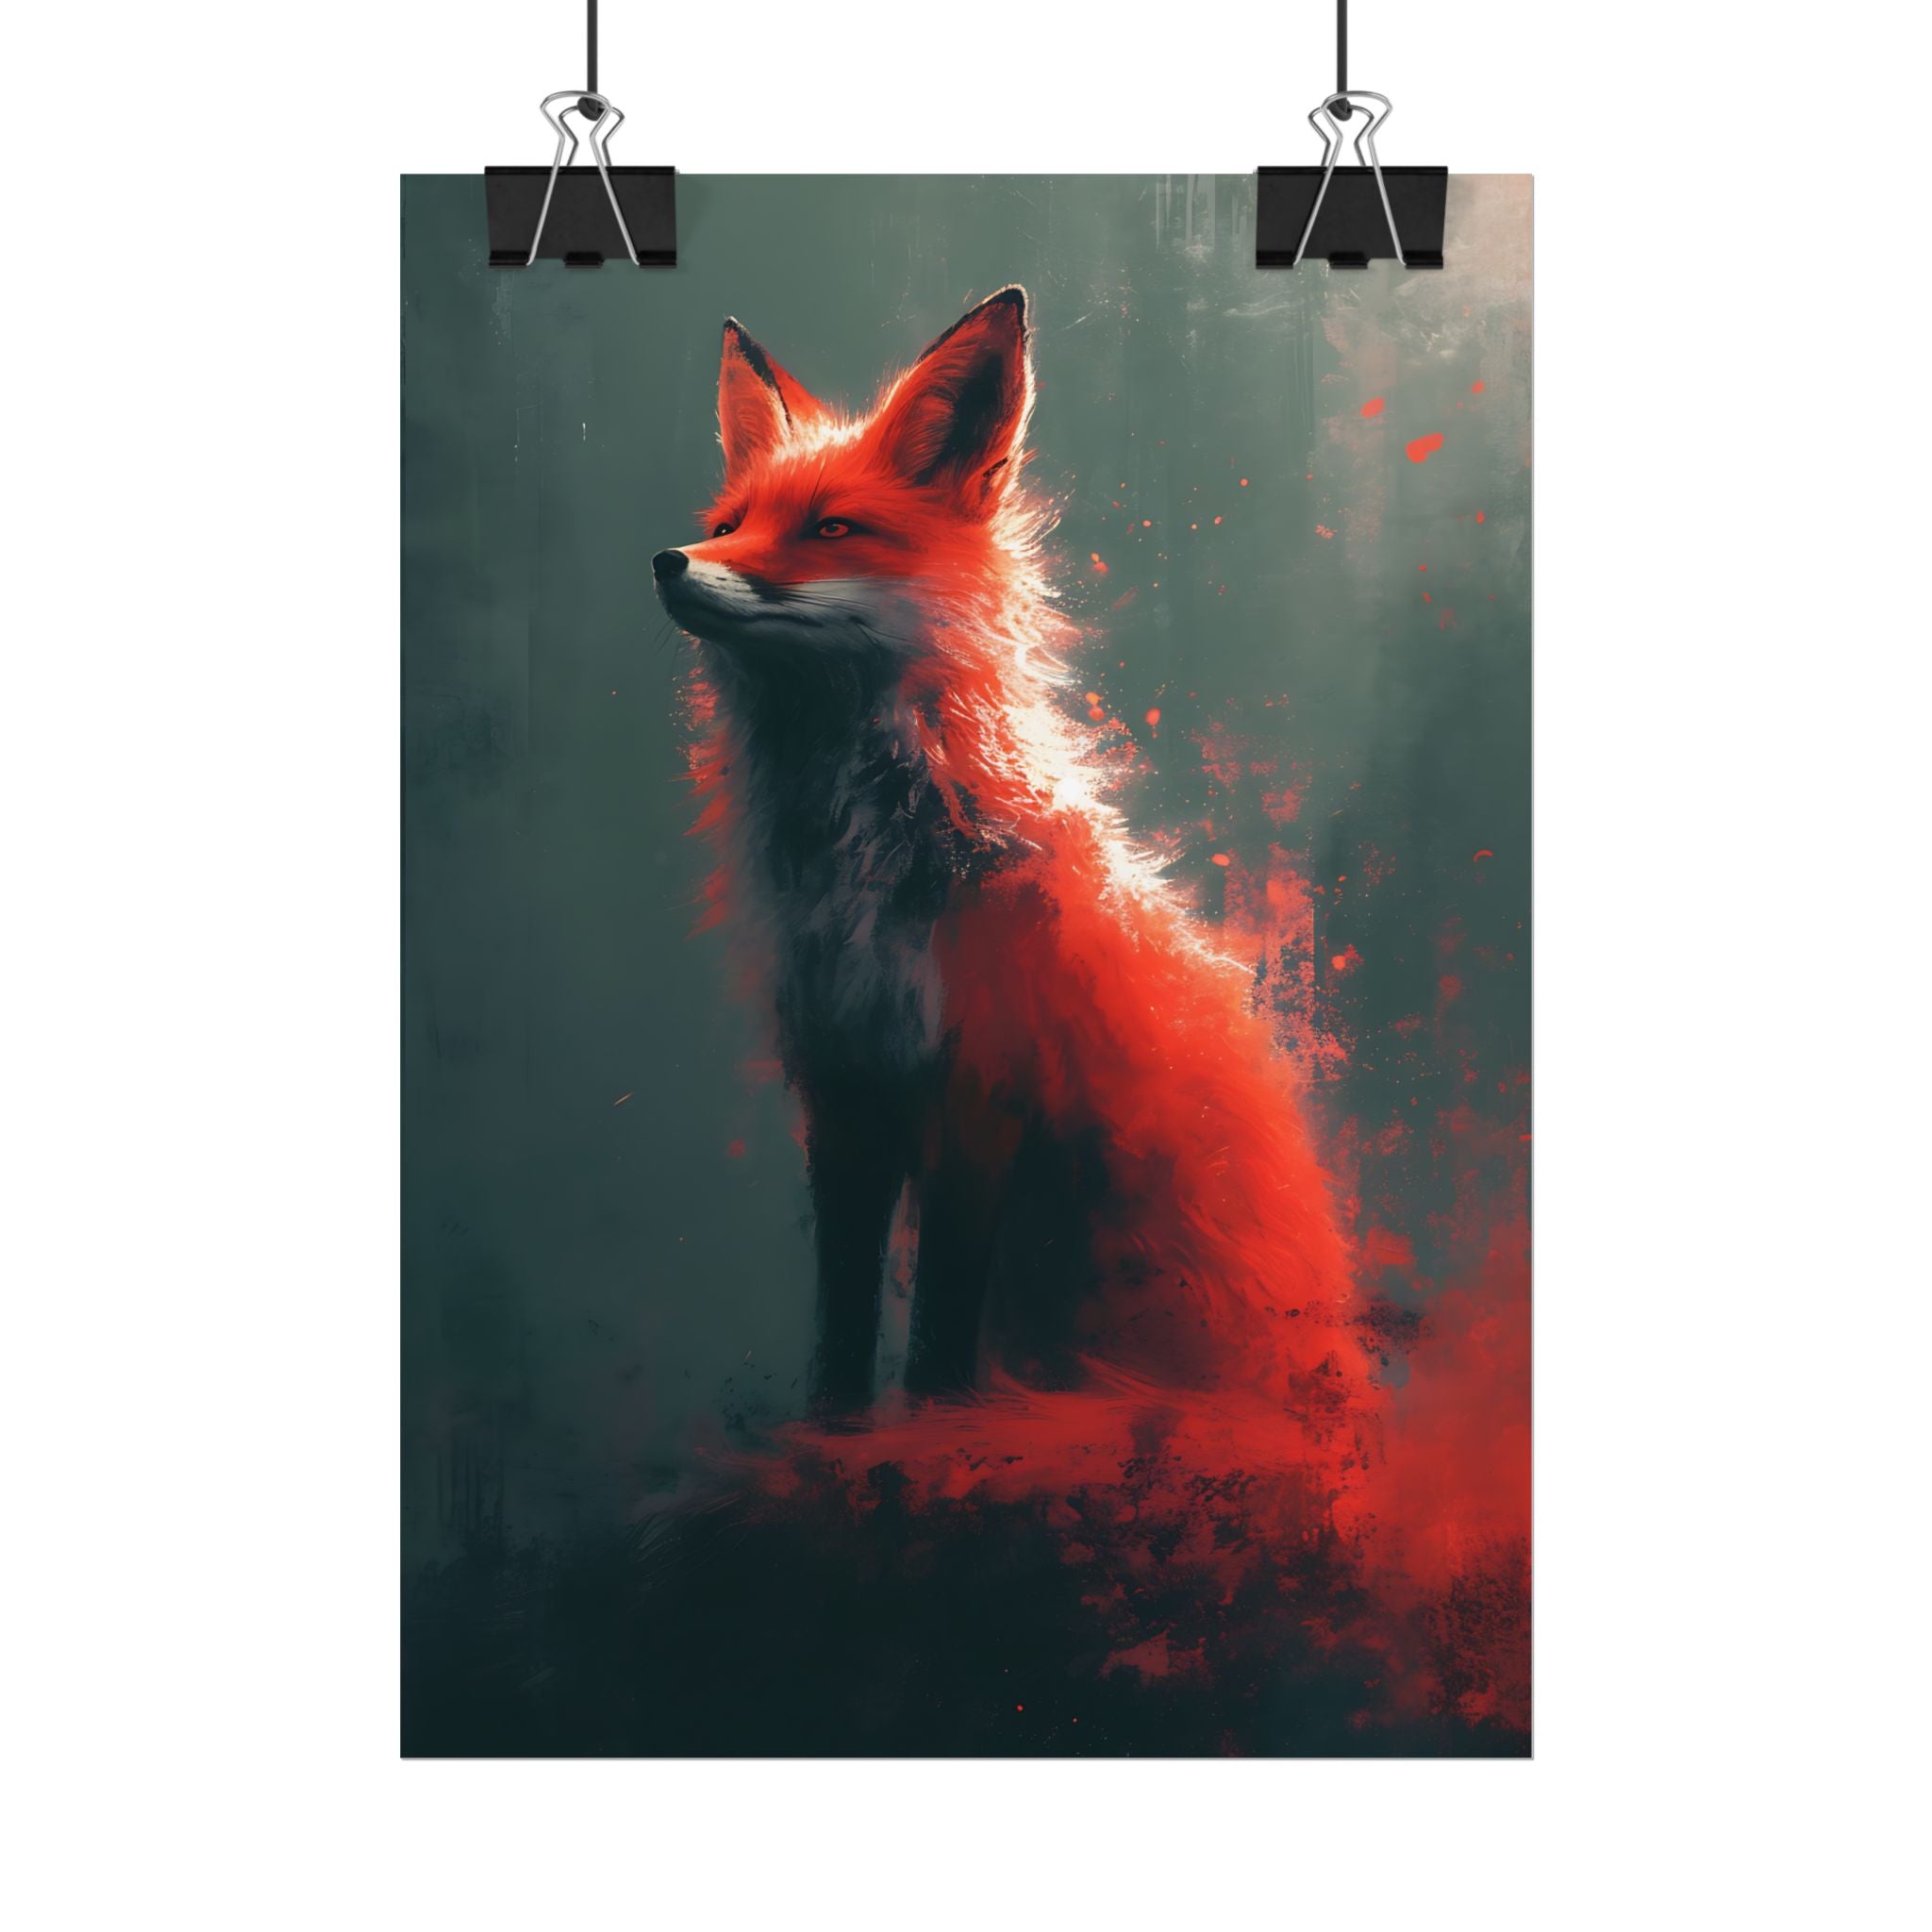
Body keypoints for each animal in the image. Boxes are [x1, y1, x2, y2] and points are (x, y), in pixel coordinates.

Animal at [653, 287, 1375, 1433]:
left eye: (830, 528)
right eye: (729, 526)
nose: (670, 561)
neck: (866, 869)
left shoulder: (982, 1086)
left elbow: (941, 1323)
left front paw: (934, 1428)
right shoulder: (842, 1085)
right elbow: (843, 1309)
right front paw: (834, 1429)